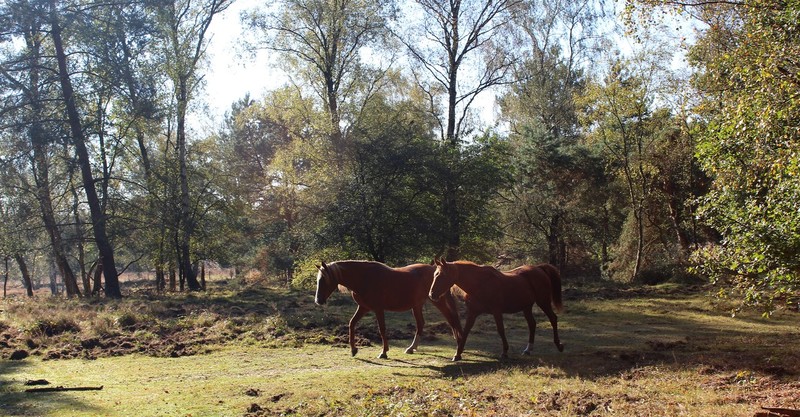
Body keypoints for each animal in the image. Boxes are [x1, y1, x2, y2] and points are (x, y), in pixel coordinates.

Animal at [315, 260, 463, 359]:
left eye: (324, 280)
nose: (318, 300)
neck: (364, 278)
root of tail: (436, 270)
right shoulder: (363, 308)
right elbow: (352, 323)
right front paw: (353, 349)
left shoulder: (378, 309)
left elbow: (382, 329)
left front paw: (384, 352)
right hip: (417, 306)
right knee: (421, 324)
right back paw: (411, 348)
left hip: (437, 301)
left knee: (451, 319)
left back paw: (458, 347)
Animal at [428, 258, 564, 361]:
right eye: (434, 275)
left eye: (442, 275)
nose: (431, 294)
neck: (480, 284)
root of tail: (539, 268)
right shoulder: (472, 313)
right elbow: (465, 331)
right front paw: (457, 354)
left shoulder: (496, 311)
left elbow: (501, 330)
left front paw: (504, 352)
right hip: (527, 307)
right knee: (532, 324)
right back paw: (528, 349)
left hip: (543, 302)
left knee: (553, 318)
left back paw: (559, 345)